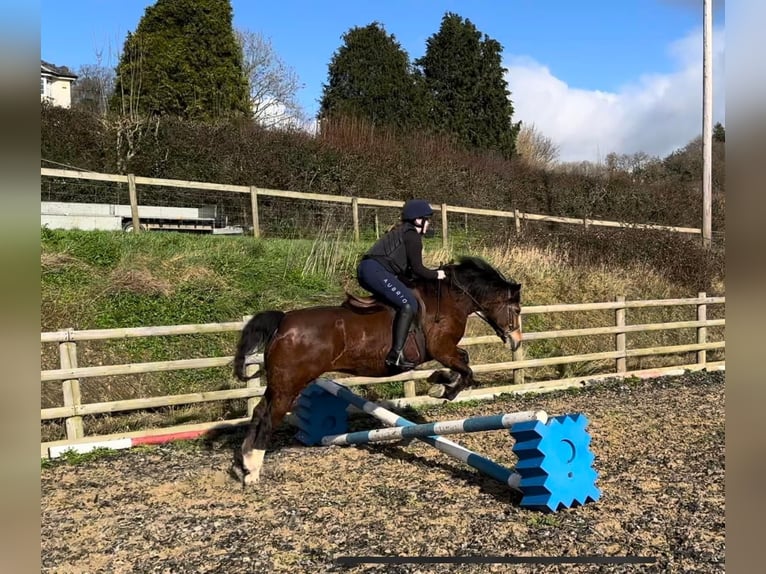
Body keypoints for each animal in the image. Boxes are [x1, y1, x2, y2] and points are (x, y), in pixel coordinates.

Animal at [232, 256, 520, 486]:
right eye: (516, 309)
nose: (516, 341)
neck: (451, 298)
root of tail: (283, 322)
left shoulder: (445, 352)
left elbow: (464, 361)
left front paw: (439, 380)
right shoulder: (441, 349)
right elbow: (466, 369)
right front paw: (442, 388)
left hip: (280, 384)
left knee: (259, 412)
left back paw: (242, 464)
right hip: (290, 385)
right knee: (269, 418)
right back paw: (254, 470)